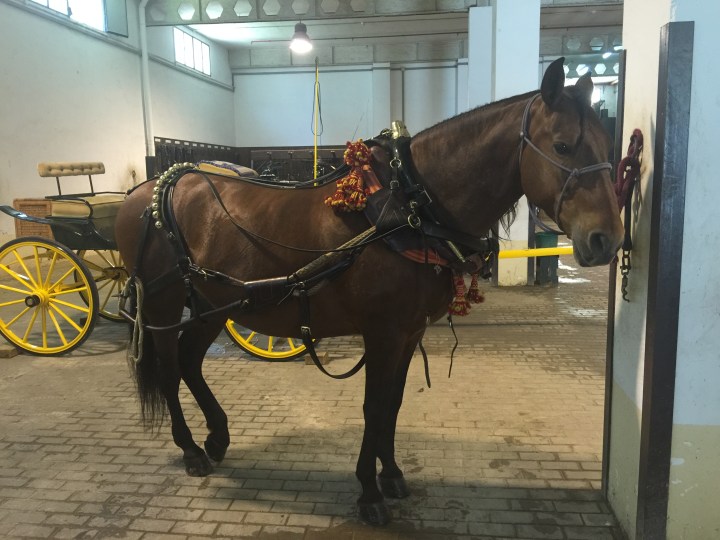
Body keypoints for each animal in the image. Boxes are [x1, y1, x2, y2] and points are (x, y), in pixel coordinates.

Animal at [115, 57, 623, 526]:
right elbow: (374, 407)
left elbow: (393, 405)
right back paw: (191, 450)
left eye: (607, 145)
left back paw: (217, 437)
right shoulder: (382, 333)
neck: (408, 207)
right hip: (163, 305)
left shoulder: (409, 333)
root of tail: (154, 187)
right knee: (168, 369)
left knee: (189, 361)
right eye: (562, 145)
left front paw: (391, 474)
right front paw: (369, 492)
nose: (607, 239)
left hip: (213, 306)